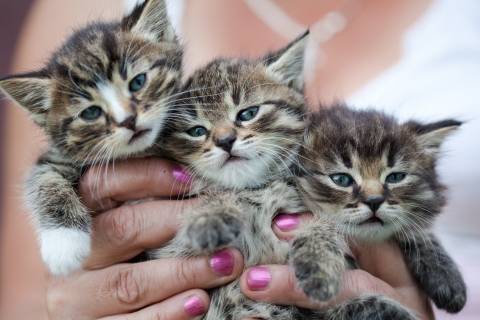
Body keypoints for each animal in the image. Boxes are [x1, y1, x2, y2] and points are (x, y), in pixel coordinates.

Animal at [0, 0, 182, 276]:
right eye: (91, 112)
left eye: (138, 82)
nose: (128, 120)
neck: (138, 153)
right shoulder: (57, 156)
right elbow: (44, 178)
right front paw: (63, 243)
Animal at [298, 105, 466, 316]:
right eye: (341, 179)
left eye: (395, 177)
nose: (374, 201)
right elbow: (366, 306)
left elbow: (418, 231)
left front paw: (447, 276)